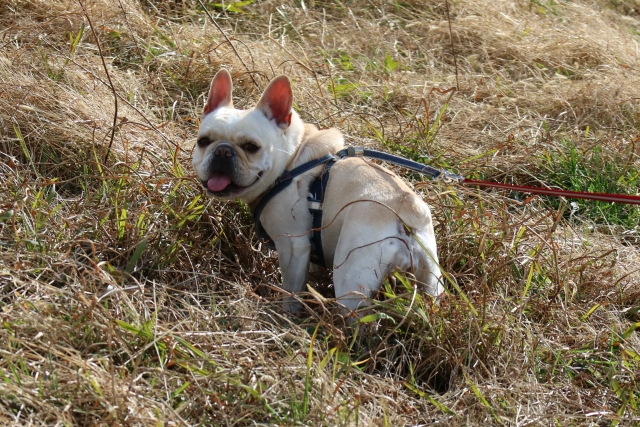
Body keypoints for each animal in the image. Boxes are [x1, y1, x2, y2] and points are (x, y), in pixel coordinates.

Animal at [194, 68, 444, 312]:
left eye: (251, 147)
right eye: (203, 141)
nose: (223, 151)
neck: (290, 162)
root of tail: (407, 209)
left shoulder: (293, 246)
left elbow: (292, 289)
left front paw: (288, 313)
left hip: (351, 274)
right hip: (431, 280)